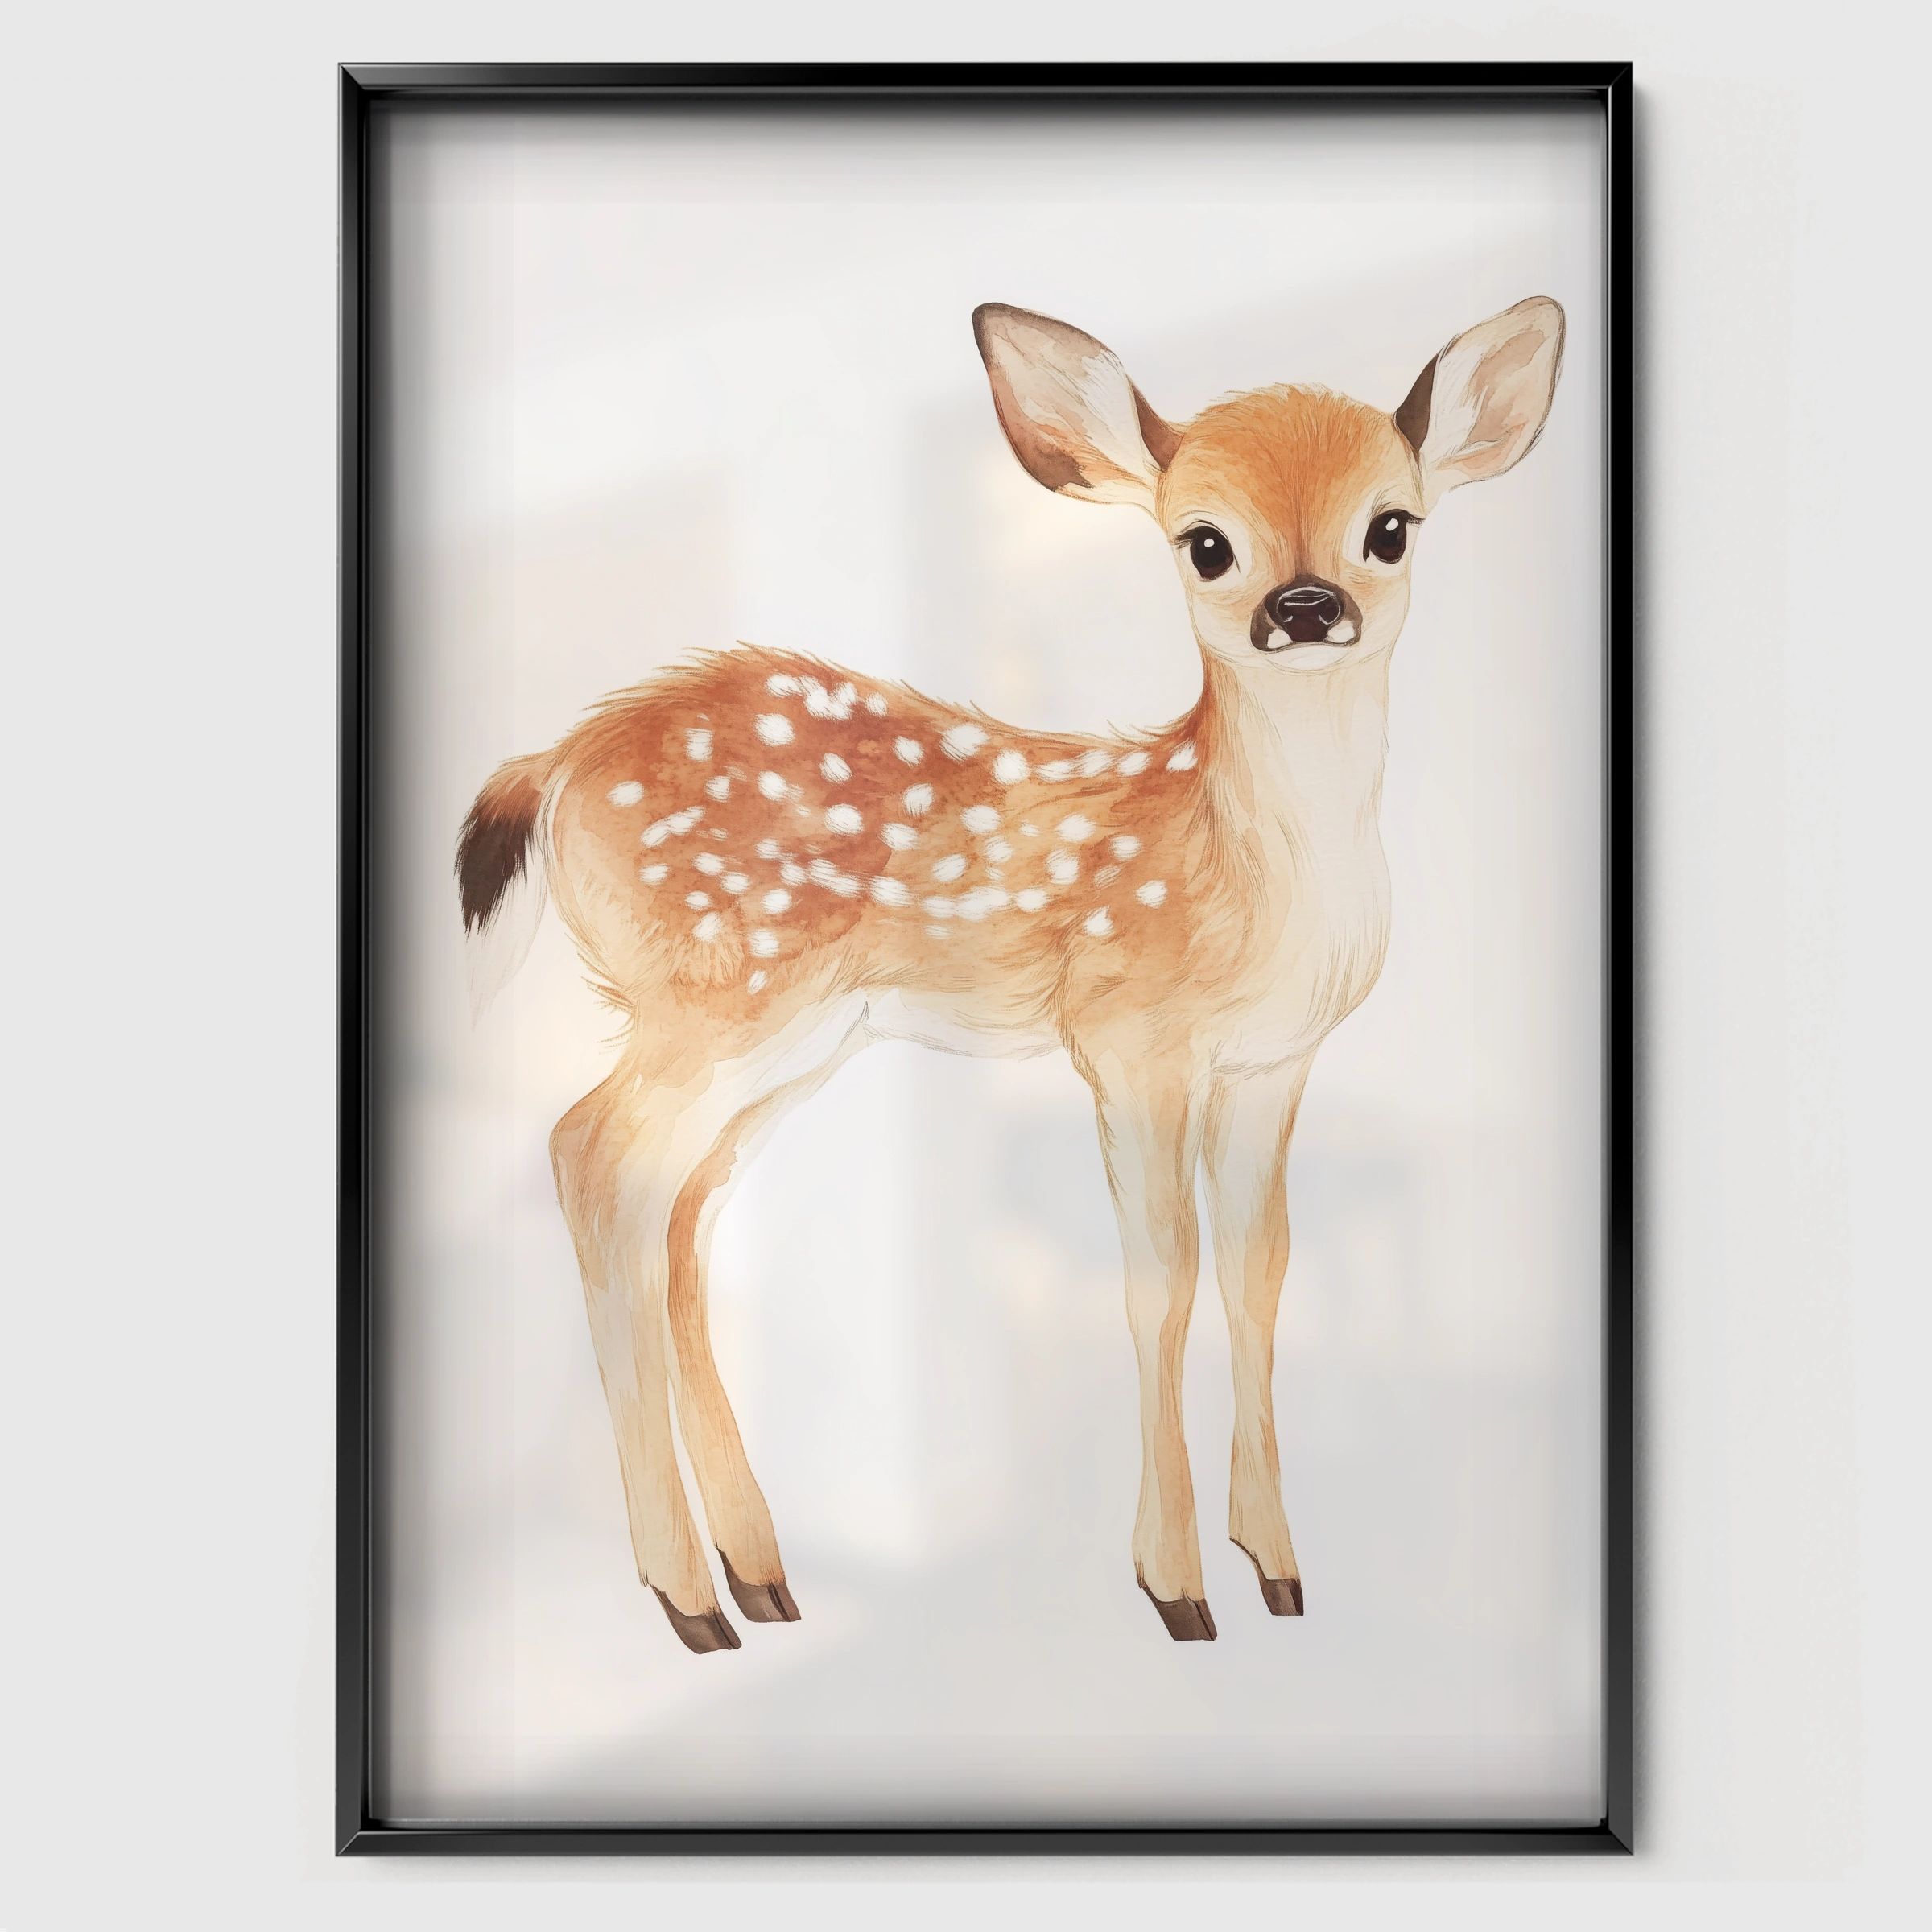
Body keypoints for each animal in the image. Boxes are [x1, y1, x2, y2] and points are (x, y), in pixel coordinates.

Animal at [457, 297, 1565, 1652]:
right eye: (1206, 543)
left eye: (1390, 527)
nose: (1305, 605)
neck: (1247, 869)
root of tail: (556, 760)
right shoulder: (1129, 1038)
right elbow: (1161, 1285)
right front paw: (1176, 1586)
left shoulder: (1273, 1064)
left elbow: (1260, 1280)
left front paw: (1280, 1569)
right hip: (716, 989)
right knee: (587, 1151)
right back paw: (689, 1599)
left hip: (793, 1041)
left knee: (679, 1211)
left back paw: (760, 1576)